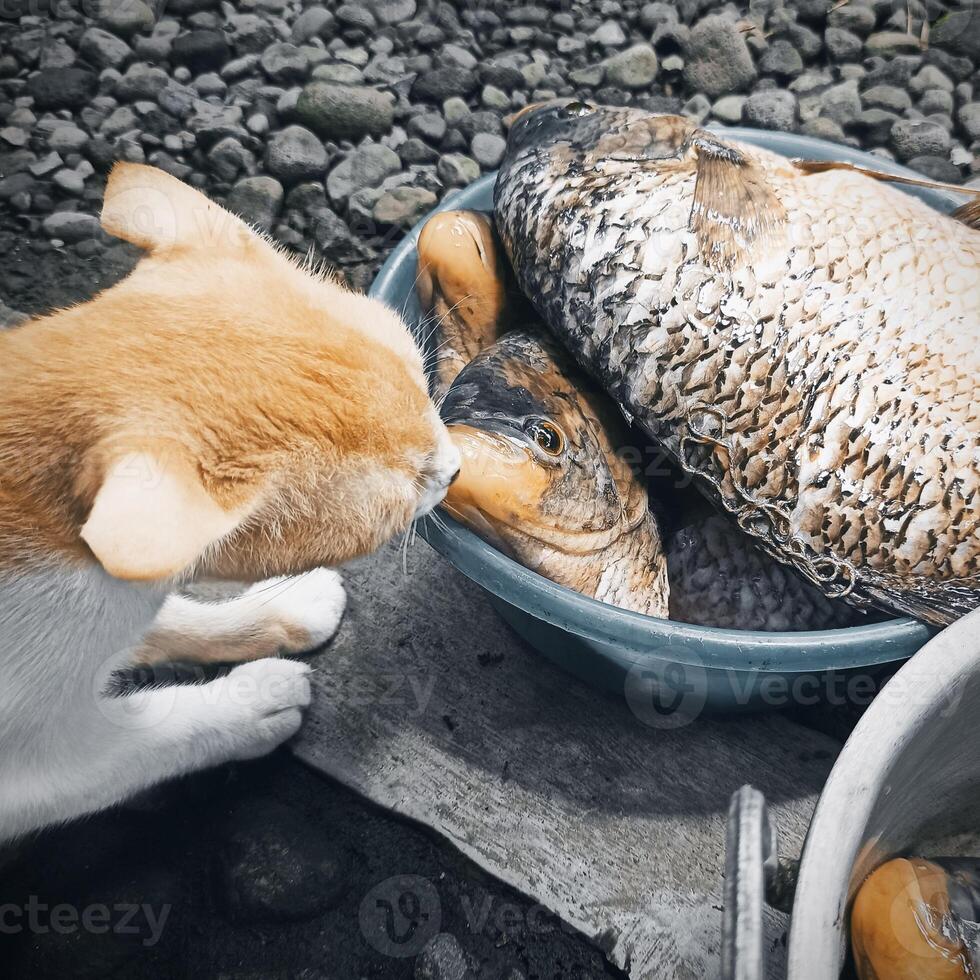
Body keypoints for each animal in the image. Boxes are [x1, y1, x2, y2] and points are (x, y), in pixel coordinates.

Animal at [0, 163, 460, 844]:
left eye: (424, 385)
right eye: (404, 489)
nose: (457, 468)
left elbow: (171, 619)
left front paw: (281, 607)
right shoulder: (33, 770)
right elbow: (153, 735)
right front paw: (252, 700)